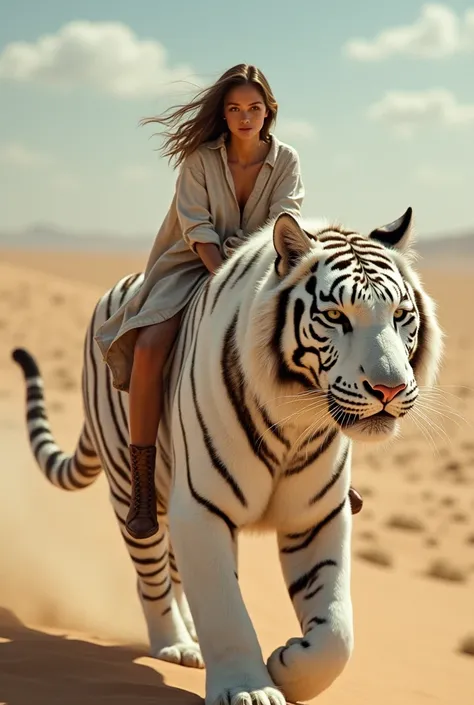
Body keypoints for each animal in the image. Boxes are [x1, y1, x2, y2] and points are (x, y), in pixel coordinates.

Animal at [13, 209, 444, 704]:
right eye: (336, 316)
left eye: (400, 316)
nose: (389, 389)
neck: (295, 422)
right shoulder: (202, 508)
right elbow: (224, 607)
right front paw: (249, 688)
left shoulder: (317, 515)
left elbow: (336, 631)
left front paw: (289, 665)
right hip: (131, 489)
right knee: (152, 576)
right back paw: (176, 644)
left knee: (175, 571)